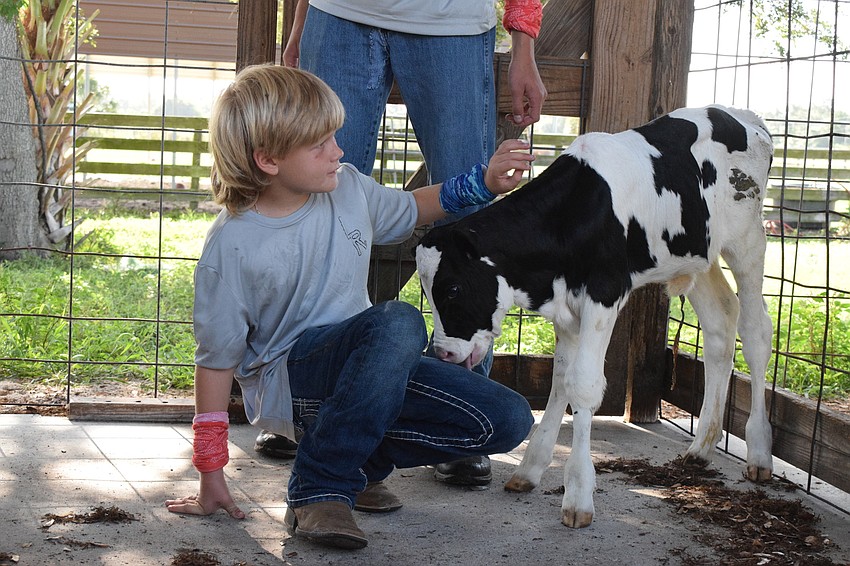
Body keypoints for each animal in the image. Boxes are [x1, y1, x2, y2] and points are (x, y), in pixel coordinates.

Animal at [415, 105, 775, 528]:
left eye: (452, 289)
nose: (444, 353)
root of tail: (744, 117)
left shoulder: (605, 293)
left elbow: (584, 385)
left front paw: (578, 495)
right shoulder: (566, 307)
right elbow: (560, 381)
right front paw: (530, 469)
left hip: (748, 241)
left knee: (755, 332)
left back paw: (759, 452)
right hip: (697, 255)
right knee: (721, 323)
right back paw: (702, 446)